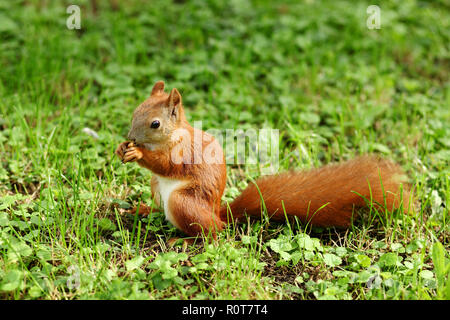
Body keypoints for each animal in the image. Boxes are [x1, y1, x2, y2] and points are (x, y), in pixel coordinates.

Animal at [115, 82, 412, 238]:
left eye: (155, 123)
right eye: (135, 111)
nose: (130, 137)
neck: (173, 136)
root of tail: (217, 212)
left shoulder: (185, 152)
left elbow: (166, 165)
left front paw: (138, 153)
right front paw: (121, 148)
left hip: (184, 202)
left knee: (215, 233)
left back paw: (187, 241)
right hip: (157, 188)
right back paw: (143, 210)